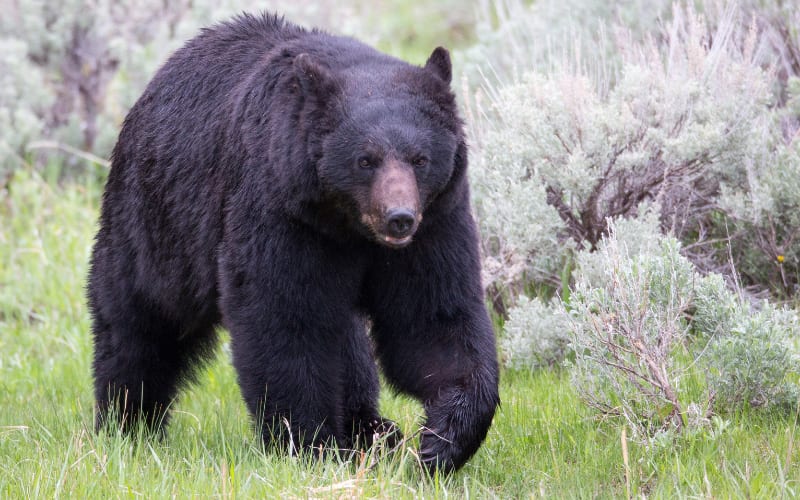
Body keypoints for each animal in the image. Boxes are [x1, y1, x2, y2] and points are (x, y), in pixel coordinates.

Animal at [88, 12, 499, 473]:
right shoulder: (280, 210)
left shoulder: (436, 222)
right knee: (139, 319)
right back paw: (128, 422)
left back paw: (373, 430)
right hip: (158, 221)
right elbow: (284, 318)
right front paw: (309, 444)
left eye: (420, 158)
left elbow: (432, 318)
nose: (399, 218)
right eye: (365, 159)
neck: (347, 226)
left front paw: (443, 441)